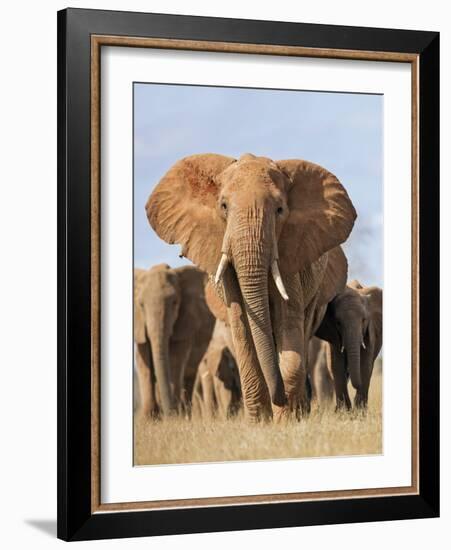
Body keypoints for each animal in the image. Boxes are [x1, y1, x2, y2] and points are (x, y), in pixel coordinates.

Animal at [134, 264, 215, 418]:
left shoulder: (186, 321)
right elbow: (143, 362)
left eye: (175, 303)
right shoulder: (139, 326)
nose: (169, 414)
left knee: (189, 375)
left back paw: (185, 413)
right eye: (140, 305)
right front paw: (149, 418)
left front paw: (175, 416)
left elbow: (176, 359)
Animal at [147, 153, 358, 420]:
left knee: (303, 330)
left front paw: (286, 419)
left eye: (280, 210)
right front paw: (261, 421)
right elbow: (241, 325)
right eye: (223, 206)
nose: (280, 398)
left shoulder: (292, 254)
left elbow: (288, 321)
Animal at [316, 280, 384, 410]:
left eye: (364, 320)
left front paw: (359, 411)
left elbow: (365, 364)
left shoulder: (370, 330)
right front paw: (344, 411)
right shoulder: (333, 334)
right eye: (338, 322)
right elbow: (336, 365)